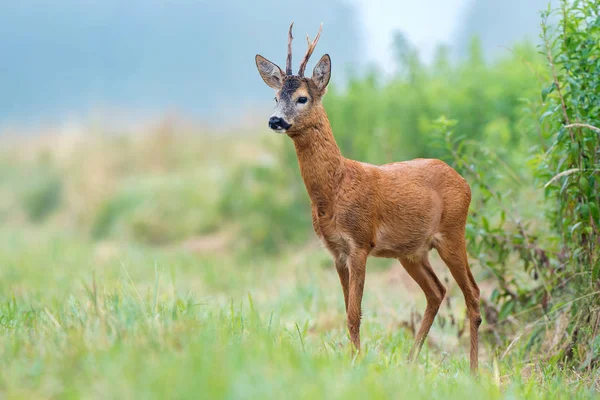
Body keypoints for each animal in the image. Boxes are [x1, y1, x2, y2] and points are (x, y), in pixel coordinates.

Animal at [254, 21, 482, 372]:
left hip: (452, 232)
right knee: (437, 291)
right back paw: (410, 362)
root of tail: (464, 182)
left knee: (472, 293)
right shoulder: (336, 251)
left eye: (303, 97)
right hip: (412, 251)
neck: (333, 190)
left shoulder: (359, 242)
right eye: (275, 96)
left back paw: (473, 371)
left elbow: (354, 313)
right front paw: (354, 359)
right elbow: (346, 310)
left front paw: (356, 364)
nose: (275, 120)